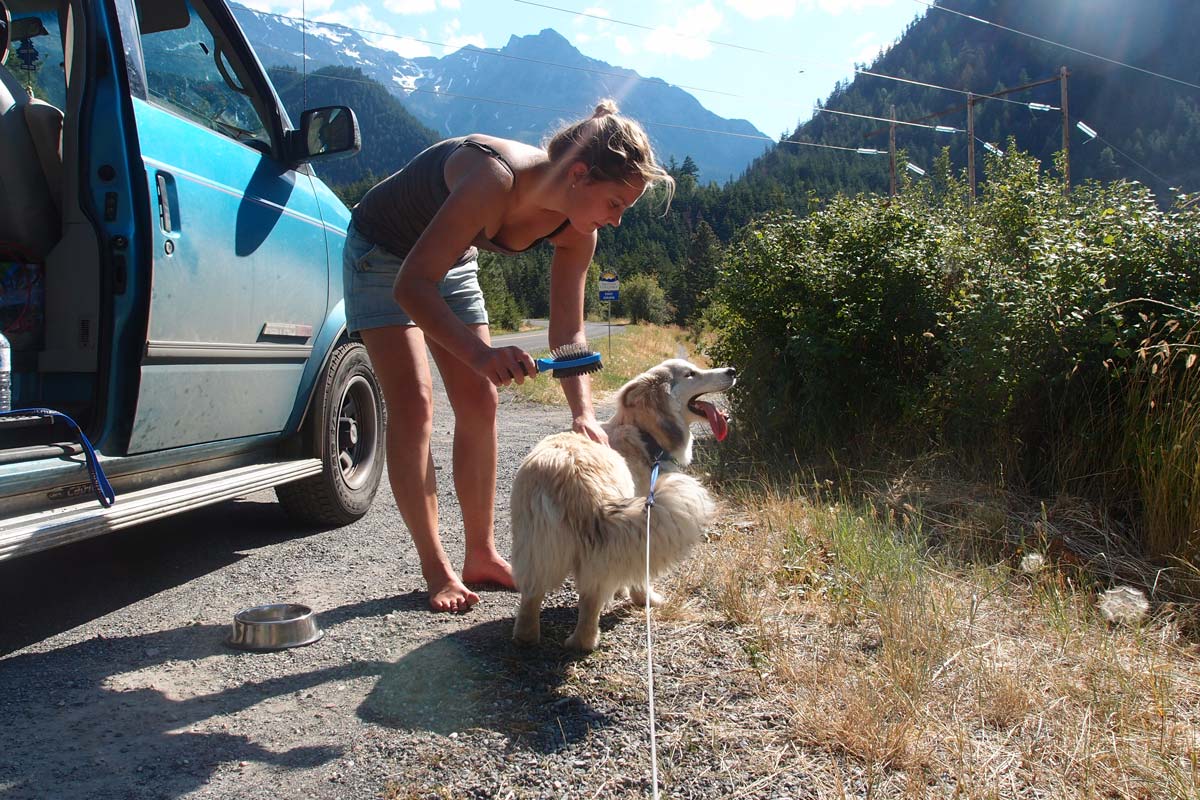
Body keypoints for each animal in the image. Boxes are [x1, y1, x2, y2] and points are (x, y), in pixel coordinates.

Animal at [506, 357, 729, 652]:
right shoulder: (641, 526)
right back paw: (584, 641)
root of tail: (566, 471)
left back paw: (526, 637)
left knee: (531, 595)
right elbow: (638, 574)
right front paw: (644, 598)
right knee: (590, 599)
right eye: (690, 374)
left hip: (533, 544)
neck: (645, 435)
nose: (732, 371)